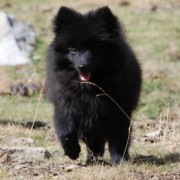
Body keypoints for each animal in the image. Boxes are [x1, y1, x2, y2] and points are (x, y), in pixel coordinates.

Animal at [46, 5, 142, 163]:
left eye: (96, 48)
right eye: (74, 50)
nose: (82, 66)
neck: (89, 89)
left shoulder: (116, 109)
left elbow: (119, 137)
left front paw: (119, 160)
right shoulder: (66, 104)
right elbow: (66, 131)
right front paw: (72, 152)